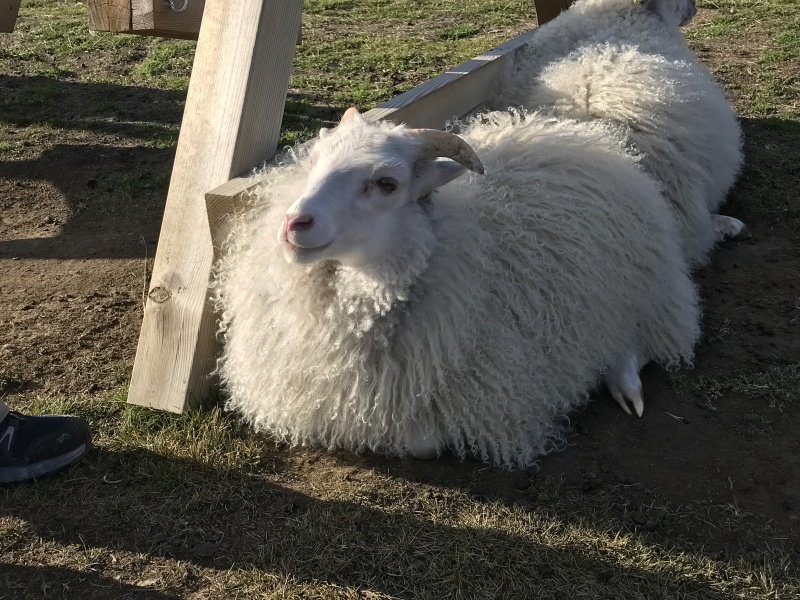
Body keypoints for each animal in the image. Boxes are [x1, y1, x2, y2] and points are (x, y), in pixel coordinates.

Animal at [211, 106, 701, 467]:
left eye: (387, 183)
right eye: (314, 162)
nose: (294, 223)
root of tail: (582, 133)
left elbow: (423, 442)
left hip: (640, 286)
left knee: (636, 337)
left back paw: (625, 385)